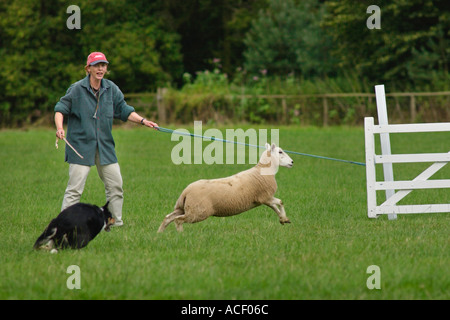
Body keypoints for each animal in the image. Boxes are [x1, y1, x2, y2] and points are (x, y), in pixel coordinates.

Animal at [158, 143, 296, 232]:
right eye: (280, 152)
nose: (292, 162)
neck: (262, 171)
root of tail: (185, 192)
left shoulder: (264, 199)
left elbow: (275, 207)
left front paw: (283, 219)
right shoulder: (265, 197)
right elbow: (280, 202)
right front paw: (284, 218)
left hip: (182, 207)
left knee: (168, 218)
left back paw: (160, 235)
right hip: (197, 212)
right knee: (178, 220)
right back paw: (180, 236)